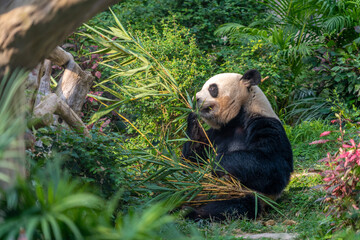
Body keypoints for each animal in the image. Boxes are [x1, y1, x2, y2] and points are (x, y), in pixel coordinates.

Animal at [183, 69, 292, 219]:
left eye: (212, 88)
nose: (196, 99)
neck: (238, 116)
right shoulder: (216, 134)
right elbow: (192, 160)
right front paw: (193, 117)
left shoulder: (265, 124)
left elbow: (271, 166)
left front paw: (217, 163)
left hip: (245, 195)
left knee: (231, 206)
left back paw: (194, 213)